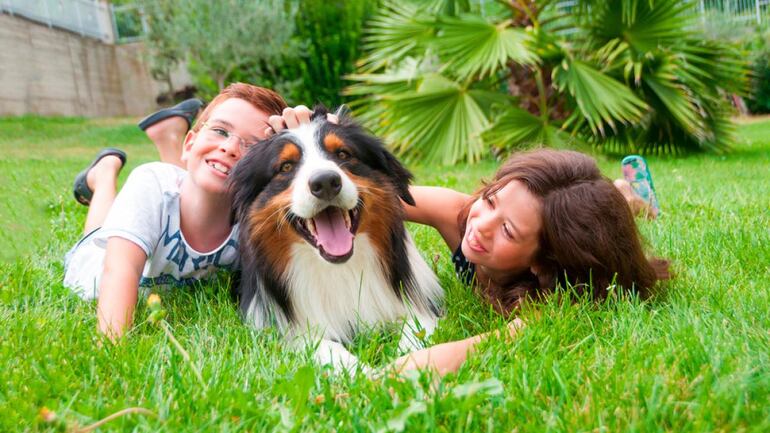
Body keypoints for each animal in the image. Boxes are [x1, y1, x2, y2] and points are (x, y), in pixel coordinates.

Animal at [228, 108, 440, 372]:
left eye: (342, 154)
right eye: (285, 167)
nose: (325, 182)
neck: (340, 269)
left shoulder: (418, 306)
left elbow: (417, 334)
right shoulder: (294, 331)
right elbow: (329, 349)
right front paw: (369, 374)